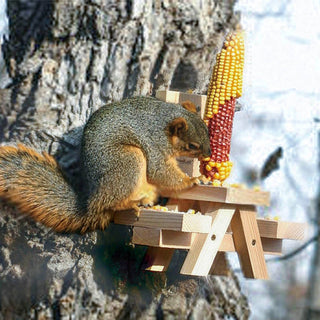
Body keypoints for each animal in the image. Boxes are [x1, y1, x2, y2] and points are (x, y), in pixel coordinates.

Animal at [0, 96, 211, 234]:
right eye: (193, 145)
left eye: (207, 130)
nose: (209, 154)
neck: (163, 124)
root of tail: (91, 205)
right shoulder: (154, 147)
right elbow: (160, 172)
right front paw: (193, 180)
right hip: (128, 160)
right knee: (113, 202)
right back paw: (131, 204)